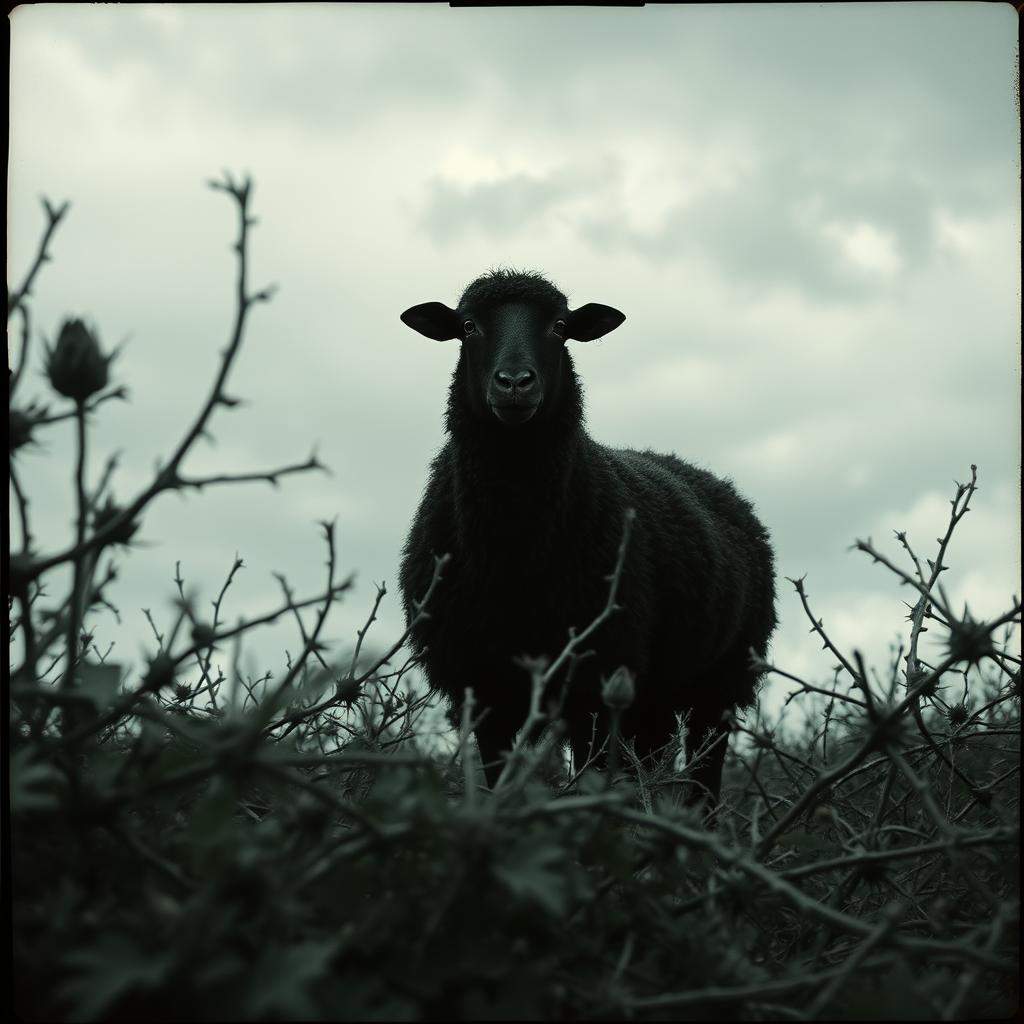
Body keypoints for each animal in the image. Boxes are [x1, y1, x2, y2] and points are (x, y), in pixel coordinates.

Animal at [398, 269, 777, 806]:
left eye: (560, 328)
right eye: (468, 327)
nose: (515, 384)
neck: (515, 551)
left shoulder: (595, 681)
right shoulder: (485, 688)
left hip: (720, 682)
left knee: (704, 781)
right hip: (654, 696)